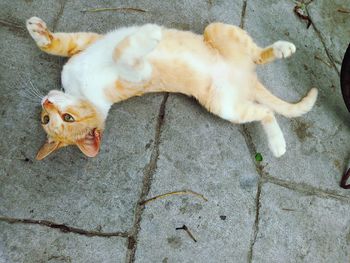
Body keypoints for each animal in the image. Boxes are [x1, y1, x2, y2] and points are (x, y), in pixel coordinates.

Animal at [26, 17, 318, 161]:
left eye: (66, 118)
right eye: (47, 120)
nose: (46, 102)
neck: (80, 89)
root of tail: (248, 78)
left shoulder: (87, 44)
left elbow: (57, 44)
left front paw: (38, 30)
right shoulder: (137, 74)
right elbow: (122, 53)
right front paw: (146, 37)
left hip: (217, 30)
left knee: (257, 55)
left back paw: (283, 48)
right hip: (226, 106)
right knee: (265, 111)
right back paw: (277, 143)